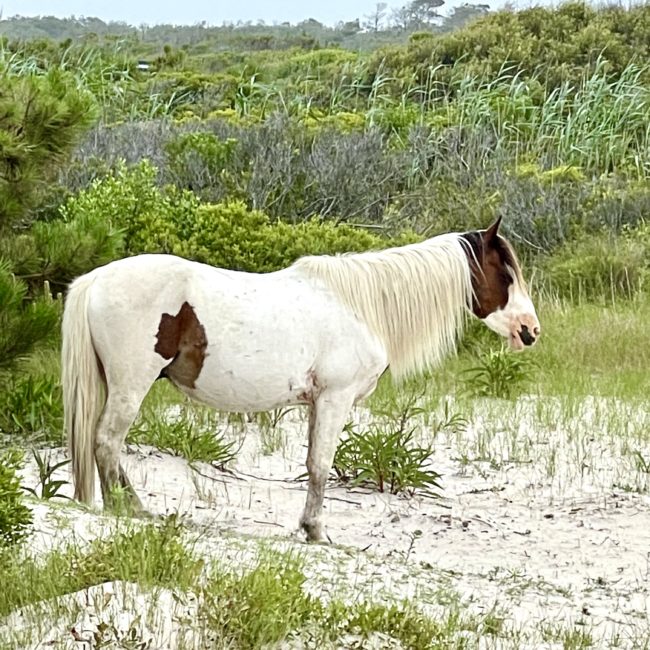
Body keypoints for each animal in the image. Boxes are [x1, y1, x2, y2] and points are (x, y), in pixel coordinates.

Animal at [62, 215, 536, 540]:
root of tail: (96, 278)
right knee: (107, 442)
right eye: (506, 274)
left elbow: (311, 463)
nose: (530, 330)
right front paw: (317, 531)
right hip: (131, 385)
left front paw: (309, 526)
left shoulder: (315, 403)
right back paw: (129, 509)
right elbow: (322, 465)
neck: (361, 306)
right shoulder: (335, 399)